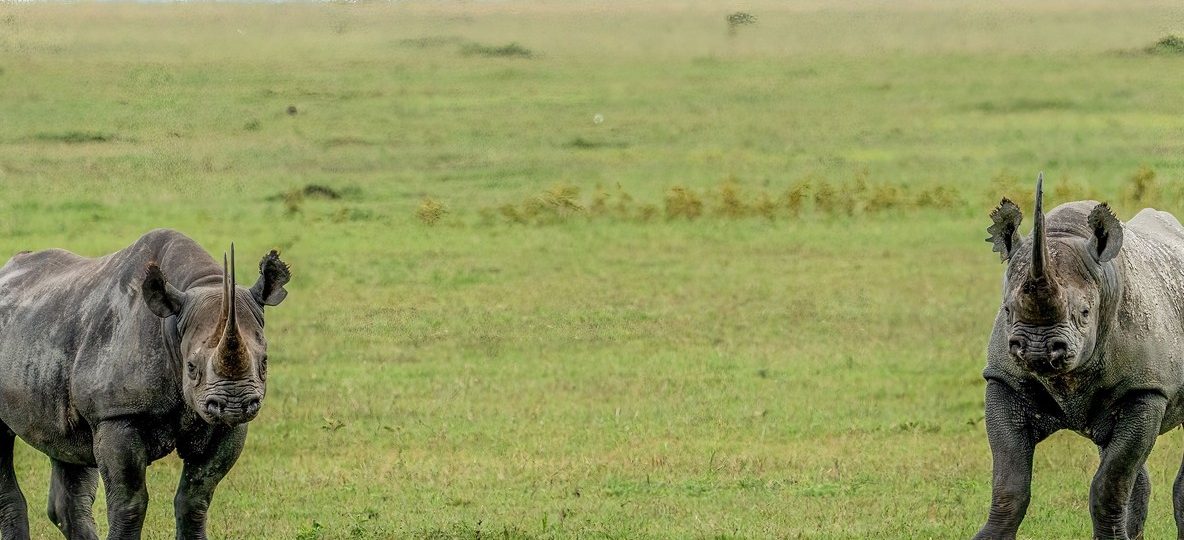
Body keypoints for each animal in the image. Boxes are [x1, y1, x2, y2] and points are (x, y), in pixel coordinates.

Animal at [0, 228, 290, 540]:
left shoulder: (226, 427)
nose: (235, 405)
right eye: (191, 367)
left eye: (264, 363)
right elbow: (130, 502)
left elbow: (195, 498)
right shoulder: (116, 413)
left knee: (67, 447)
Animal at [975, 175, 1184, 539]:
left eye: (1085, 313)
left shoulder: (1147, 390)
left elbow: (1109, 484)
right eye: (1007, 310)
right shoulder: (1005, 379)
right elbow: (1008, 485)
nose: (1038, 350)